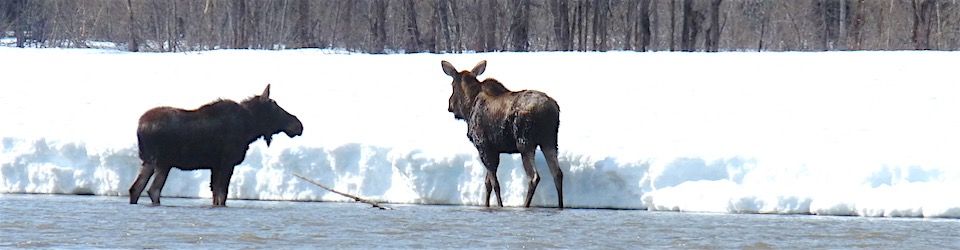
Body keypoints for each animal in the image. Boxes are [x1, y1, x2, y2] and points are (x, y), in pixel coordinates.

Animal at [127, 85, 300, 206]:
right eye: (275, 107)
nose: (299, 125)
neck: (250, 128)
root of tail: (139, 128)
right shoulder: (227, 163)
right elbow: (222, 195)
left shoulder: (215, 166)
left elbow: (216, 195)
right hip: (163, 162)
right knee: (153, 190)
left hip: (148, 161)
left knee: (135, 188)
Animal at [440, 60, 564, 209]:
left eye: (452, 85)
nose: (450, 105)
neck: (468, 107)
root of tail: (552, 110)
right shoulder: (493, 149)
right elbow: (487, 183)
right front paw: (486, 205)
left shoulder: (484, 146)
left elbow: (495, 184)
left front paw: (500, 205)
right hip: (550, 141)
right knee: (557, 173)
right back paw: (560, 205)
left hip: (525, 142)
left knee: (534, 177)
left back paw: (525, 205)